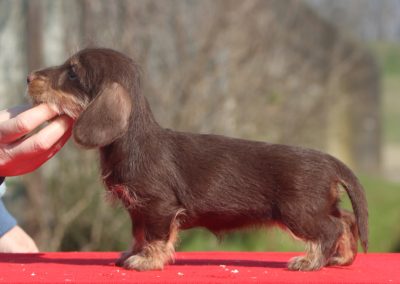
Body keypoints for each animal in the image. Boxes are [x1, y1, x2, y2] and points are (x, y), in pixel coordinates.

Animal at [26, 47, 368, 272]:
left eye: (72, 72)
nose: (28, 76)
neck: (131, 140)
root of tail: (330, 161)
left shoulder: (159, 206)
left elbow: (155, 236)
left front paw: (147, 260)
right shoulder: (138, 209)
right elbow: (138, 234)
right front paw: (131, 253)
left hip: (299, 212)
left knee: (331, 228)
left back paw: (311, 261)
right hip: (319, 206)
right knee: (345, 220)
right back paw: (342, 257)